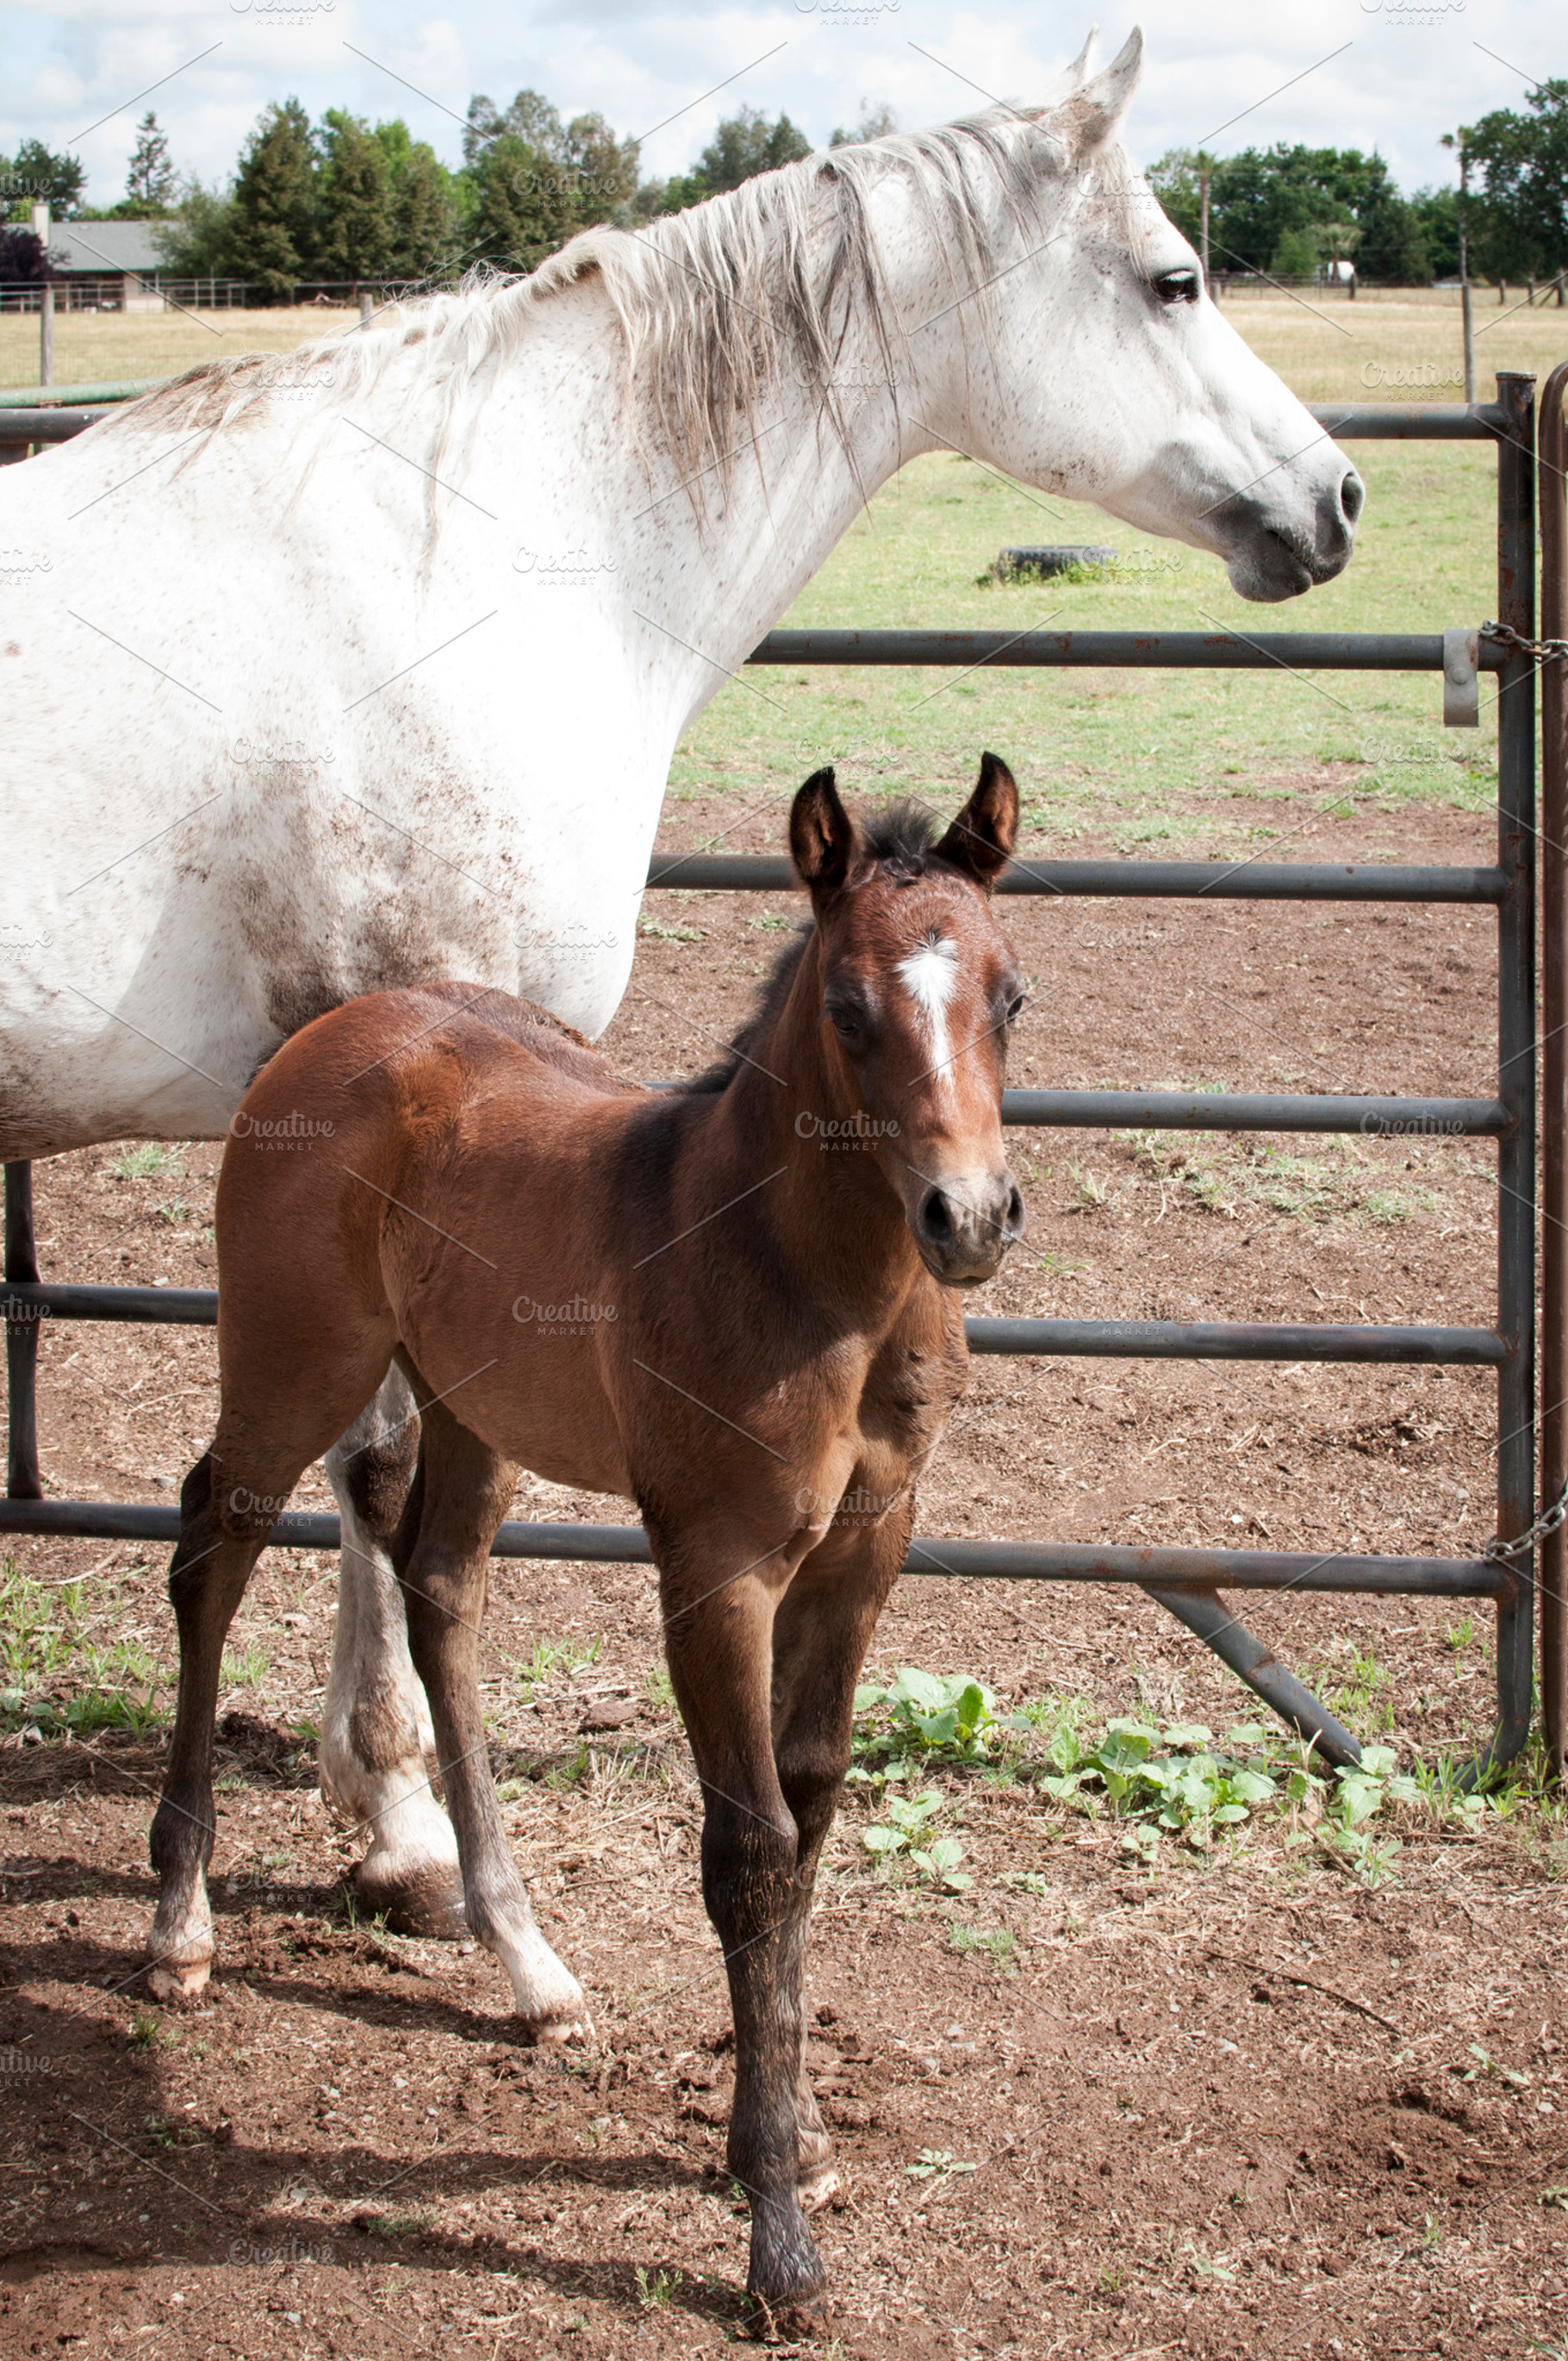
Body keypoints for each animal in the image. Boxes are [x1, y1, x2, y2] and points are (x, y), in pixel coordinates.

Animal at [149, 756, 1027, 2327]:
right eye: (848, 1007)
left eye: (1011, 995)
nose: (969, 1219)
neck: (814, 1277)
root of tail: (333, 1029)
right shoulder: (715, 1564)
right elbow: (749, 1853)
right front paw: (777, 2239)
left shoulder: (868, 1549)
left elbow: (811, 1815)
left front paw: (797, 2144)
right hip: (293, 1361)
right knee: (215, 1543)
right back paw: (178, 1926)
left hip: (463, 1399)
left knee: (437, 1585)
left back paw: (530, 1965)